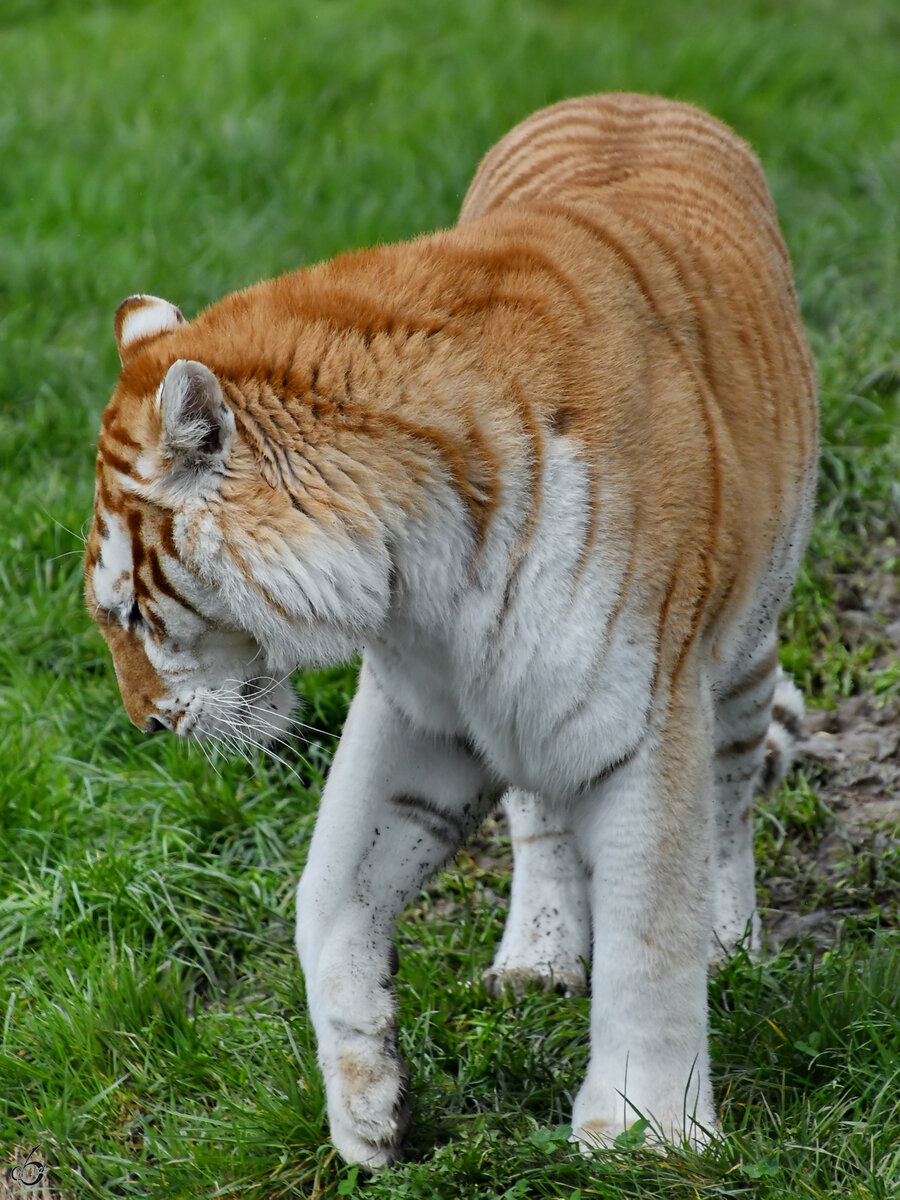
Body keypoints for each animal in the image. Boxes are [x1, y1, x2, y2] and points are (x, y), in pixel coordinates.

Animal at [84, 96, 816, 1171]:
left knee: (729, 797)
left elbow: (650, 935)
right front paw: (367, 1110)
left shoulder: (647, 713)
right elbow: (326, 891)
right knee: (541, 812)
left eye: (133, 612)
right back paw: (538, 957)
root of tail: (629, 95)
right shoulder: (423, 703)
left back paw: (729, 938)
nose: (146, 727)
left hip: (741, 654)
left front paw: (644, 1137)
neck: (417, 570)